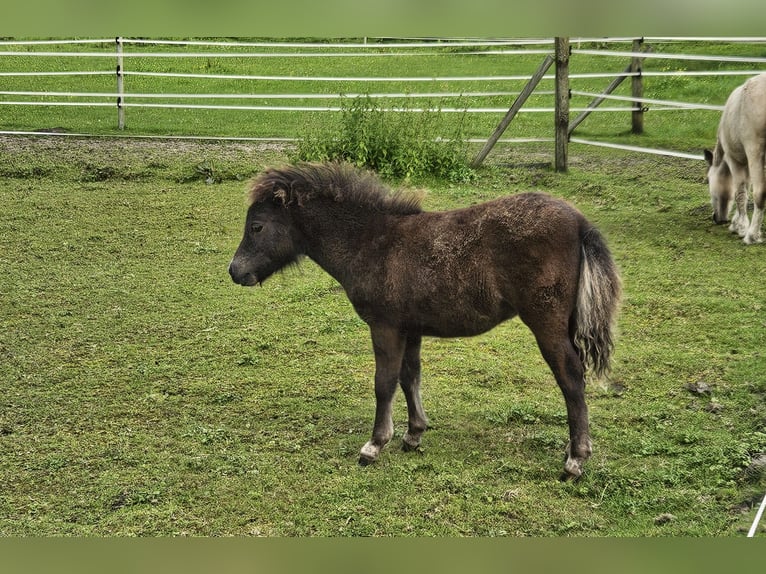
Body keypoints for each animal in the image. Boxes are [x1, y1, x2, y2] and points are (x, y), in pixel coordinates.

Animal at [230, 162, 624, 482]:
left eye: (257, 226)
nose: (235, 271)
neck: (370, 243)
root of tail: (579, 221)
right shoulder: (411, 328)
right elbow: (409, 377)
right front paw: (413, 434)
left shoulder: (385, 326)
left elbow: (384, 382)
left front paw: (374, 445)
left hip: (546, 321)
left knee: (571, 376)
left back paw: (575, 460)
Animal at [708, 73, 766, 244]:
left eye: (708, 181)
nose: (717, 218)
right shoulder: (746, 162)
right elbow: (745, 189)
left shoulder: (736, 160)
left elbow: (739, 192)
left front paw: (740, 227)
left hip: (755, 152)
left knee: (760, 193)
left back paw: (751, 235)